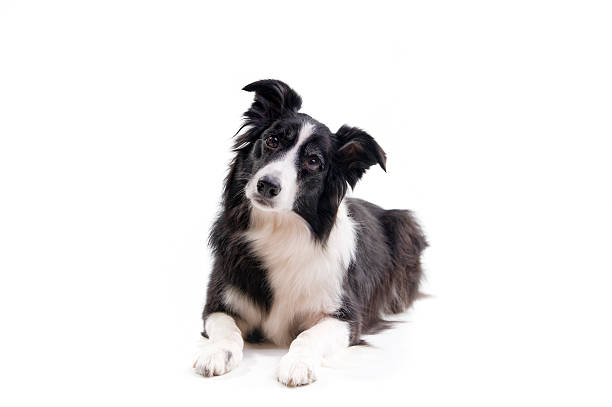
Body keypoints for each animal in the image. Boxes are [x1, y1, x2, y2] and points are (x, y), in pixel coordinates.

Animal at [194, 80, 428, 388]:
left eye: (314, 161)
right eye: (272, 141)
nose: (267, 185)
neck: (279, 230)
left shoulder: (346, 318)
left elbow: (308, 336)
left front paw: (297, 363)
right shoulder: (217, 303)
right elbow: (226, 329)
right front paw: (215, 353)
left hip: (405, 224)